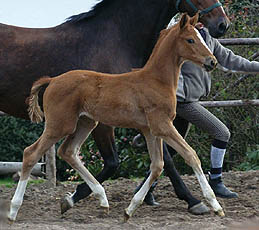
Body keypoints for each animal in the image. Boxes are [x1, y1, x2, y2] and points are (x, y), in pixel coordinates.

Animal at [0, 0, 230, 215]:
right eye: (190, 39)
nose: (222, 24)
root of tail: (52, 80)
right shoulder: (154, 124)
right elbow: (180, 157)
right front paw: (201, 201)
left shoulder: (149, 127)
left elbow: (158, 163)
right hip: (62, 125)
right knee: (32, 153)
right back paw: (14, 209)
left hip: (85, 122)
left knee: (67, 151)